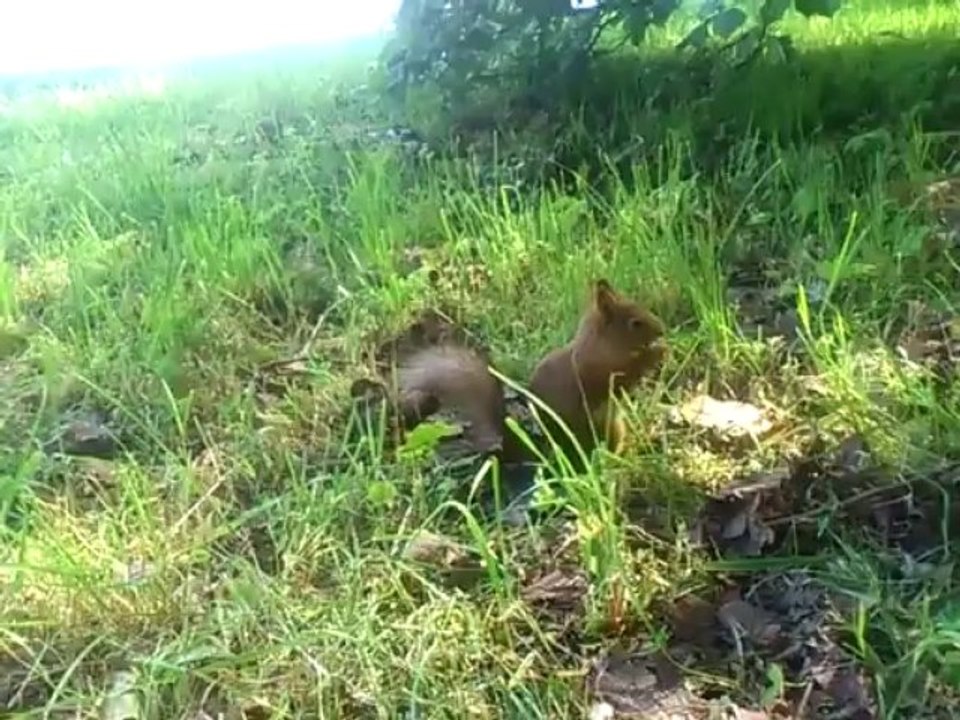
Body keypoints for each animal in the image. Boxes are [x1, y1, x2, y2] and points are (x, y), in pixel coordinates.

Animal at [354, 279, 666, 472]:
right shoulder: (594, 369)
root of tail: (540, 453)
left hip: (614, 424)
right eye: (635, 323)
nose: (662, 330)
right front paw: (656, 354)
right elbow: (621, 378)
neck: (599, 344)